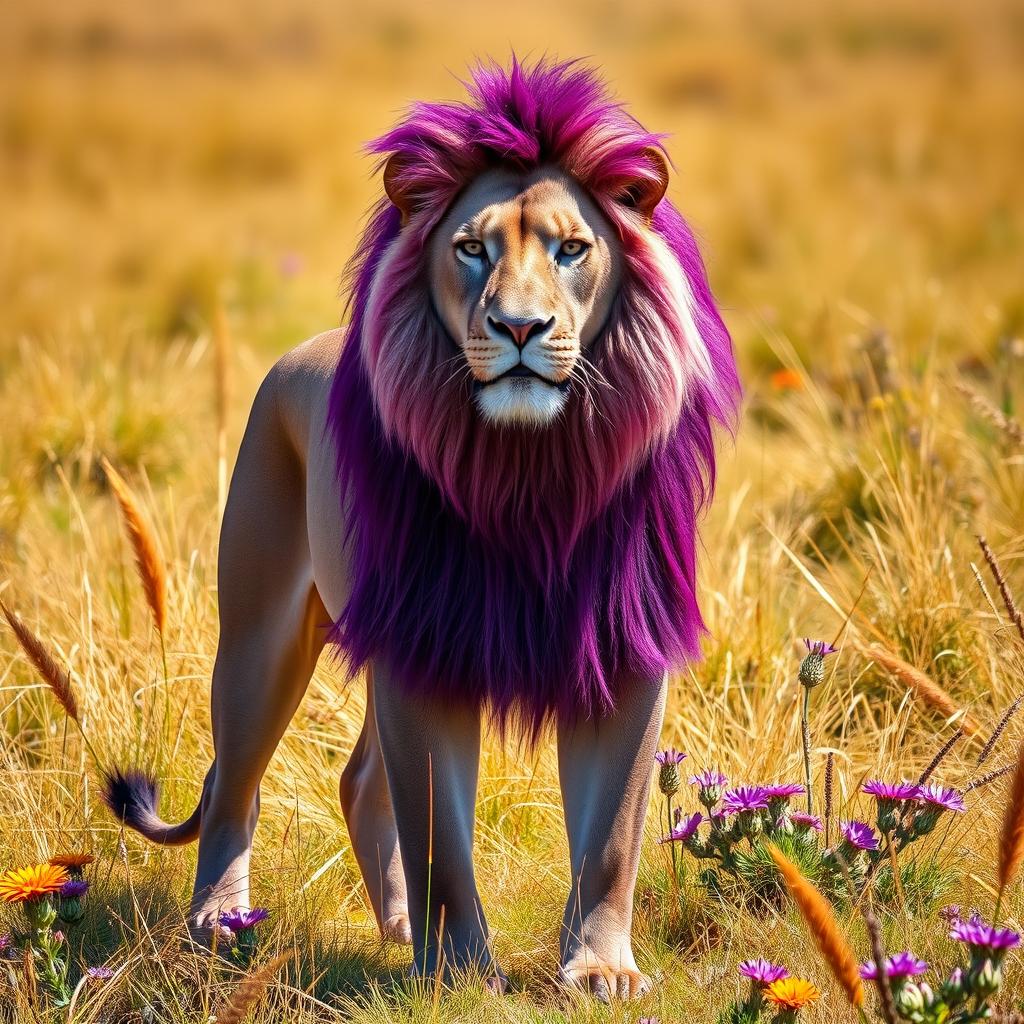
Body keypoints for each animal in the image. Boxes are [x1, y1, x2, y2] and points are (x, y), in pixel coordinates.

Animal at [102, 58, 740, 1000]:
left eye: (572, 249)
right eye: (472, 248)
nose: (520, 327)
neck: (529, 469)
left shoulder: (622, 646)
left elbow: (610, 837)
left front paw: (598, 968)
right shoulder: (422, 650)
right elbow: (439, 831)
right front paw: (461, 972)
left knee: (360, 779)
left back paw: (396, 929)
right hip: (261, 638)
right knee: (235, 786)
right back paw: (219, 923)